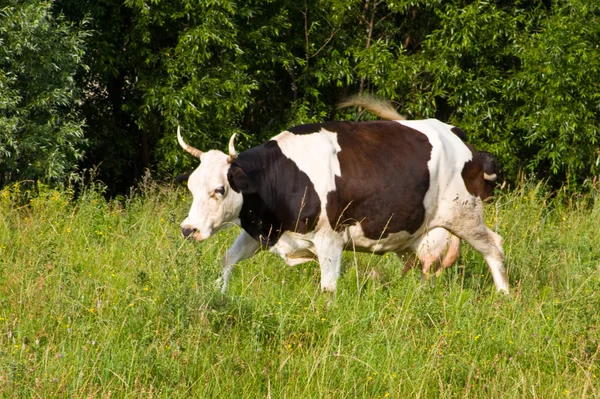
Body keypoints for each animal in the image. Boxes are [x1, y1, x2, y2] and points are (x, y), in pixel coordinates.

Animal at [177, 100, 506, 296]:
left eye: (219, 189)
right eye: (191, 187)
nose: (188, 229)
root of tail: (458, 136)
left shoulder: (330, 239)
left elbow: (328, 288)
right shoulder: (261, 230)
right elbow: (228, 259)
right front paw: (219, 293)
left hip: (465, 215)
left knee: (494, 247)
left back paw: (504, 295)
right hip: (420, 234)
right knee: (426, 267)